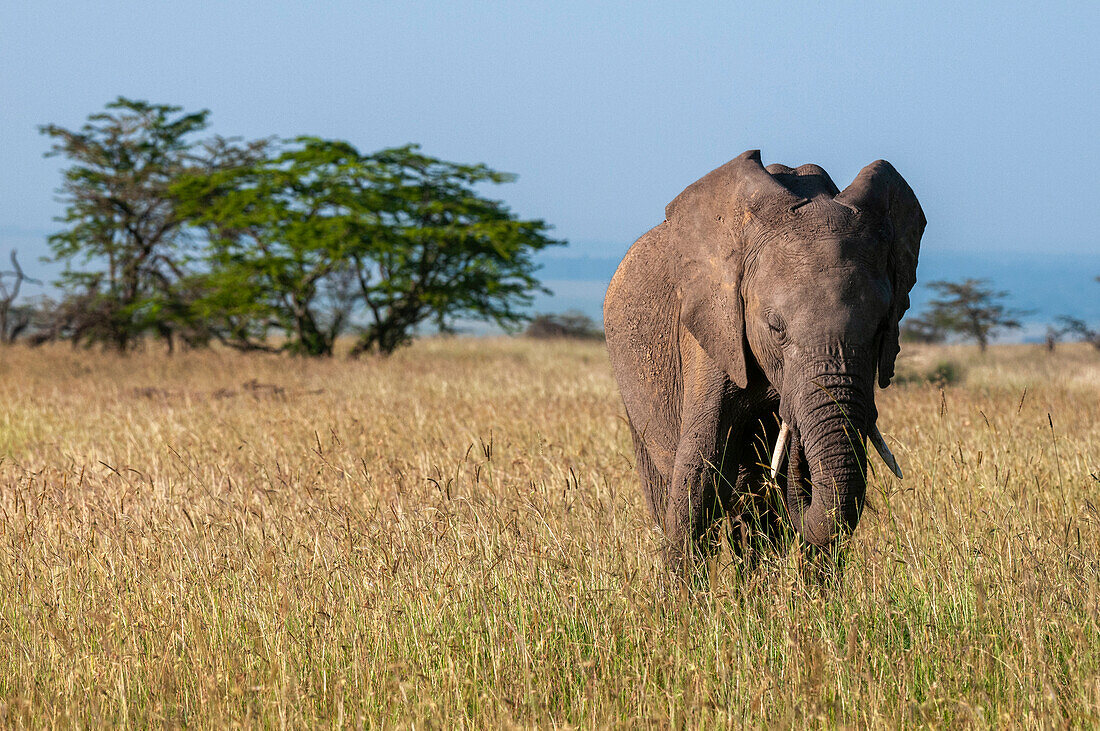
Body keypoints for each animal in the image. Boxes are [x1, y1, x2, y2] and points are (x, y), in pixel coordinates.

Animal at [607, 149, 924, 571]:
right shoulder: (714, 326)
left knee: (755, 522)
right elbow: (700, 472)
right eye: (775, 326)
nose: (796, 443)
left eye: (880, 327)